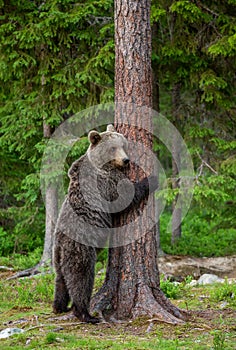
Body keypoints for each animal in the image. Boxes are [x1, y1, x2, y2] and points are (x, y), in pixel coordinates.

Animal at [52, 124, 158, 324]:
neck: (102, 164)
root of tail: (61, 245)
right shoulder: (106, 182)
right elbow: (125, 196)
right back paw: (85, 313)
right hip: (80, 248)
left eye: (124, 145)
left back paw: (60, 306)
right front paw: (153, 179)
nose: (126, 160)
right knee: (81, 278)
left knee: (60, 279)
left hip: (58, 254)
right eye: (113, 148)